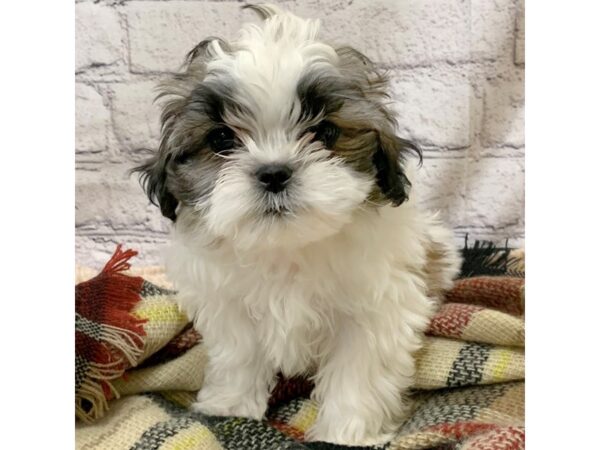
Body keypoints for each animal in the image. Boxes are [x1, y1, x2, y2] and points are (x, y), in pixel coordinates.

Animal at [136, 4, 462, 446]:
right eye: (221, 139)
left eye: (325, 132)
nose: (274, 173)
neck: (286, 247)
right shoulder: (230, 308)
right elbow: (239, 355)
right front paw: (230, 407)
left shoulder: (374, 311)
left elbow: (357, 372)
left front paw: (346, 432)